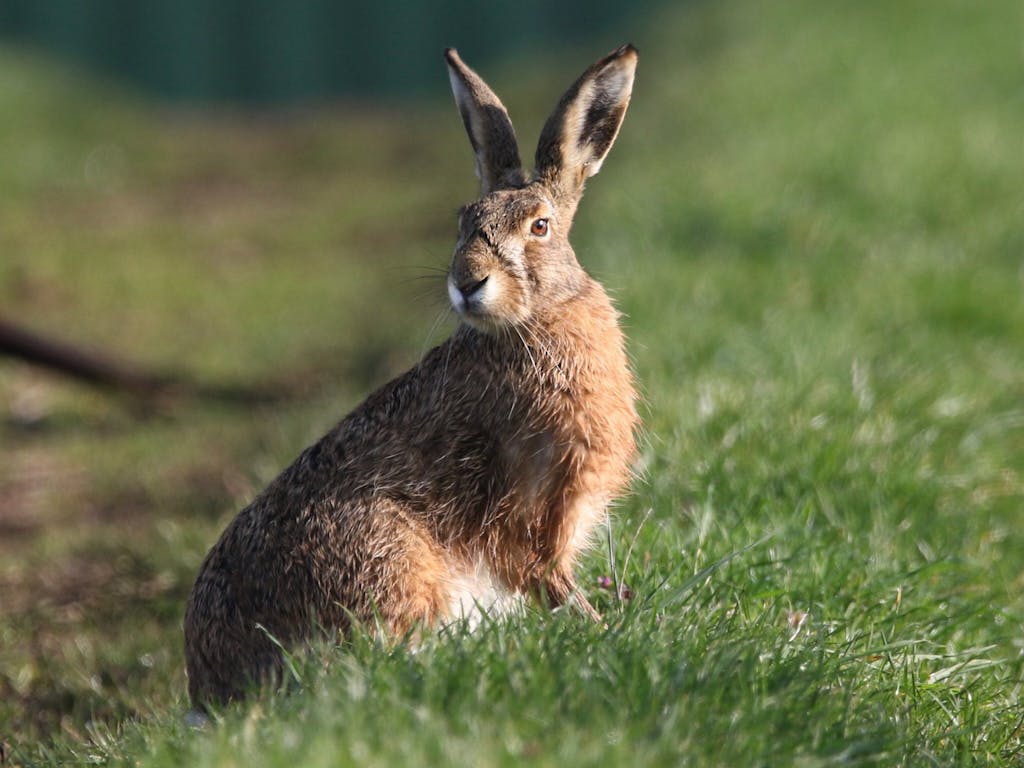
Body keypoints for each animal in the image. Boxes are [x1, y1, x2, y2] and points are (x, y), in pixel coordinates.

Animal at [184, 43, 640, 707]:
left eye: (540, 227)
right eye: (462, 221)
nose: (468, 281)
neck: (534, 321)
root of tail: (213, 689)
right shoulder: (532, 506)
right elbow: (549, 581)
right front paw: (600, 630)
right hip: (386, 554)